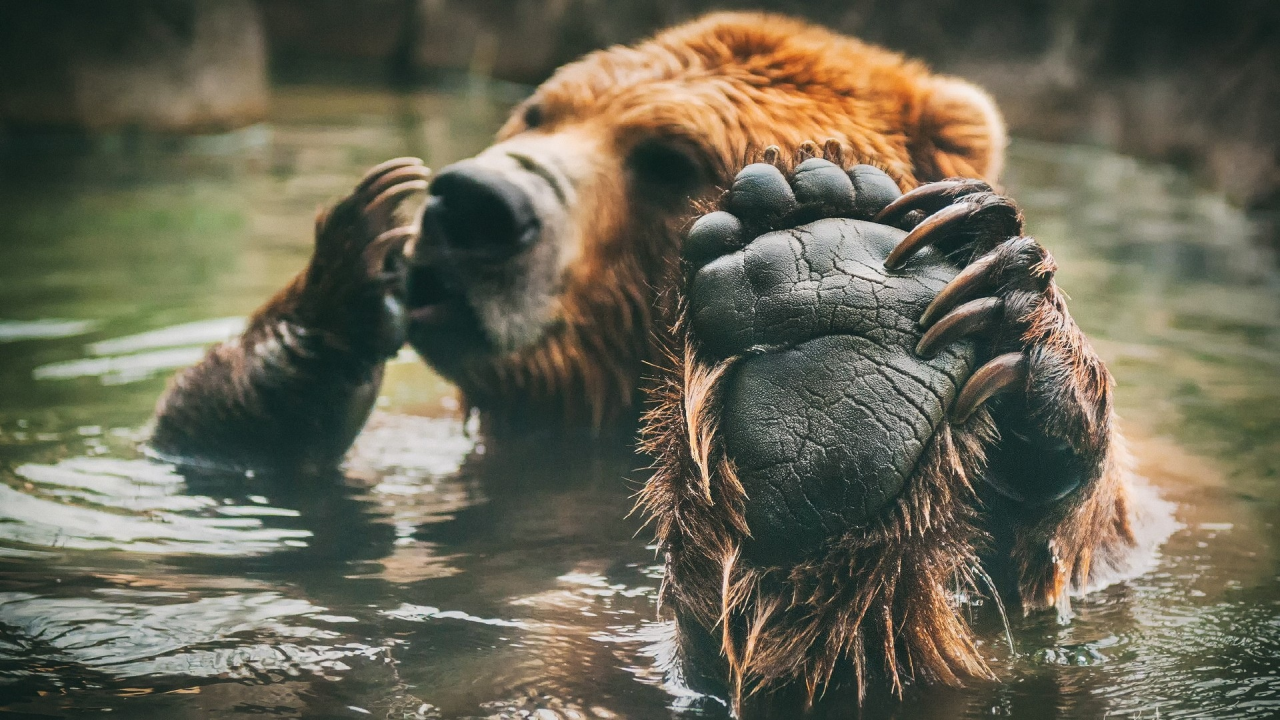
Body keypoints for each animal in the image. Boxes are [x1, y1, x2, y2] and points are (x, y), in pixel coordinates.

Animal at [149, 11, 1141, 712]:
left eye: (667, 156)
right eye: (540, 109)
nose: (473, 202)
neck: (594, 417)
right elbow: (205, 455)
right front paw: (357, 253)